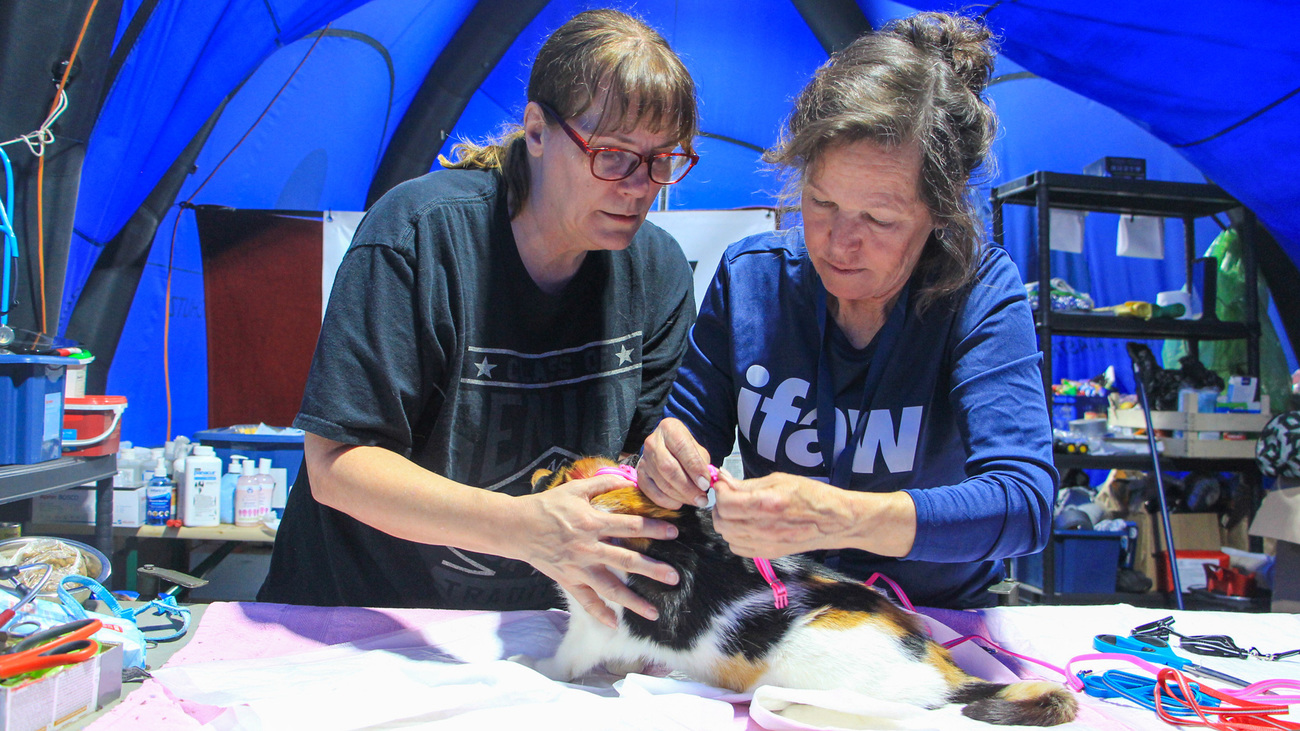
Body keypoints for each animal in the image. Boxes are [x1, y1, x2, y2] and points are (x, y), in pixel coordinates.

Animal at [527, 455, 1076, 723]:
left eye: (560, 476)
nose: (536, 476)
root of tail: (950, 675)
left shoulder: (592, 624)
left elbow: (564, 661)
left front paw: (530, 666)